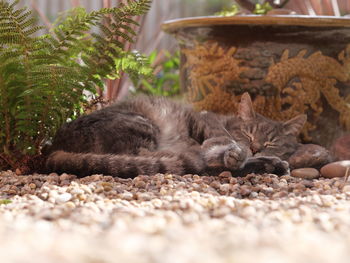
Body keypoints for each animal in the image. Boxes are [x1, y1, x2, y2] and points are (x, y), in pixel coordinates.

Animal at [45, 92, 332, 178]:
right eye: (248, 134)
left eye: (271, 142)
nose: (255, 148)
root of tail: (53, 147)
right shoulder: (204, 121)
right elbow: (218, 138)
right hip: (142, 124)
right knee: (148, 157)